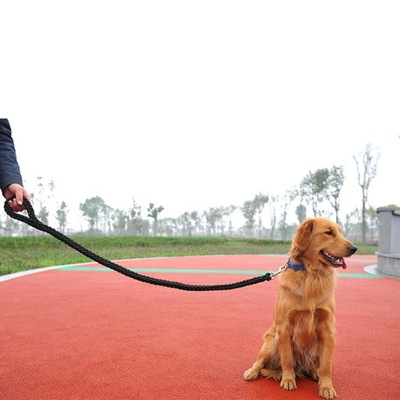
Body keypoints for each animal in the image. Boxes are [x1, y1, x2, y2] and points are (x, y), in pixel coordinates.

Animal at [242, 217, 358, 398]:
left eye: (340, 232)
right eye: (328, 232)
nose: (354, 249)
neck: (312, 274)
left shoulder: (328, 329)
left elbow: (326, 365)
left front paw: (326, 387)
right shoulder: (285, 328)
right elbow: (287, 359)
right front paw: (288, 380)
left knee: (315, 365)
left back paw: (314, 372)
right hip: (271, 341)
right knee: (260, 361)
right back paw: (253, 372)